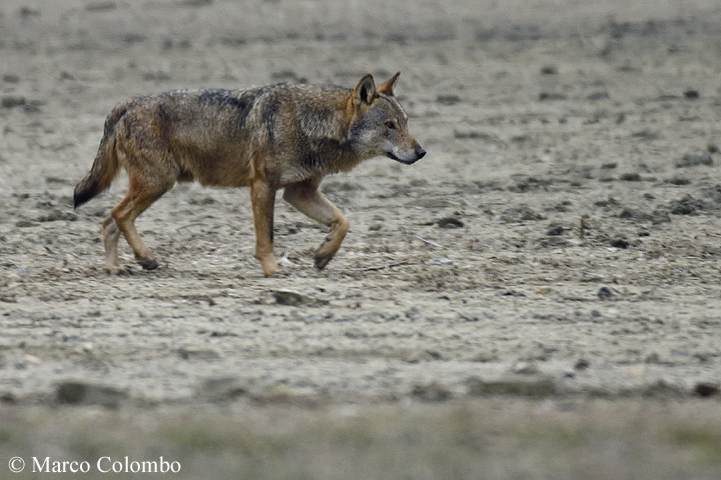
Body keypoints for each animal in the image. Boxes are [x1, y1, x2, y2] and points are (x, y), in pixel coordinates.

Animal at [73, 71, 424, 274]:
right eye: (389, 126)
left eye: (406, 123)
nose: (421, 153)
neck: (311, 123)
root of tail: (127, 103)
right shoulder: (263, 186)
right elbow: (266, 237)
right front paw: (272, 270)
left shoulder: (299, 192)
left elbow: (343, 222)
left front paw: (323, 255)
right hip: (158, 184)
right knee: (118, 216)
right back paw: (144, 258)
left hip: (155, 186)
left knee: (109, 221)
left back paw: (116, 268)